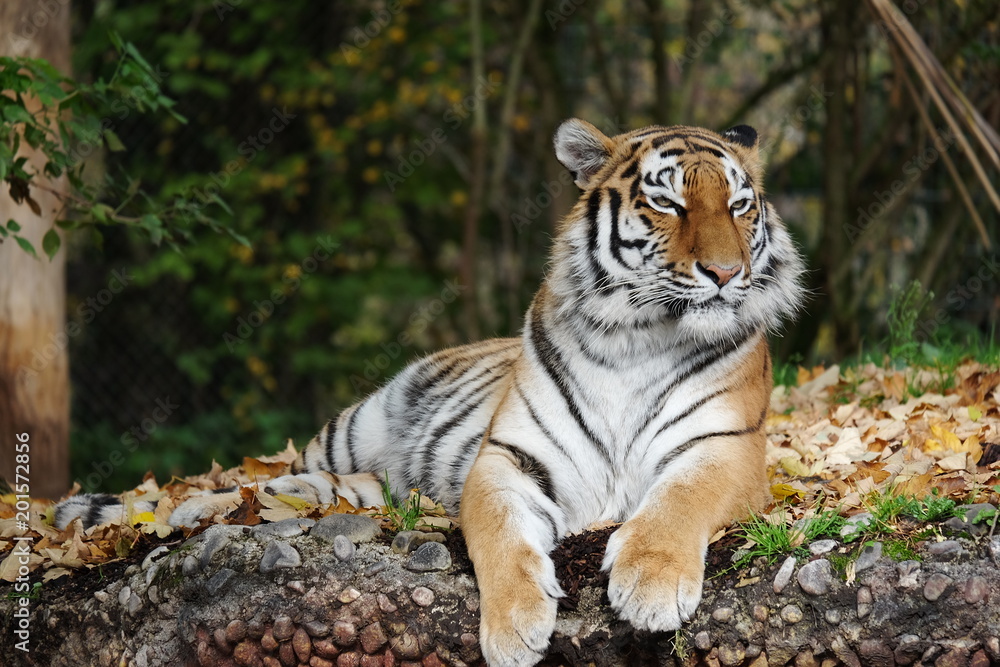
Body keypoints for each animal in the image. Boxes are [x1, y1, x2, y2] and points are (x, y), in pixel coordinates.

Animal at [56, 118, 804, 667]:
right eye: (667, 202)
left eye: (740, 205)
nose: (725, 273)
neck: (638, 337)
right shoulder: (507, 456)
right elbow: (500, 534)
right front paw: (515, 628)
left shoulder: (725, 447)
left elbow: (679, 499)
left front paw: (650, 583)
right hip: (352, 428)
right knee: (247, 479)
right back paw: (169, 512)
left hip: (361, 481)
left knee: (298, 490)